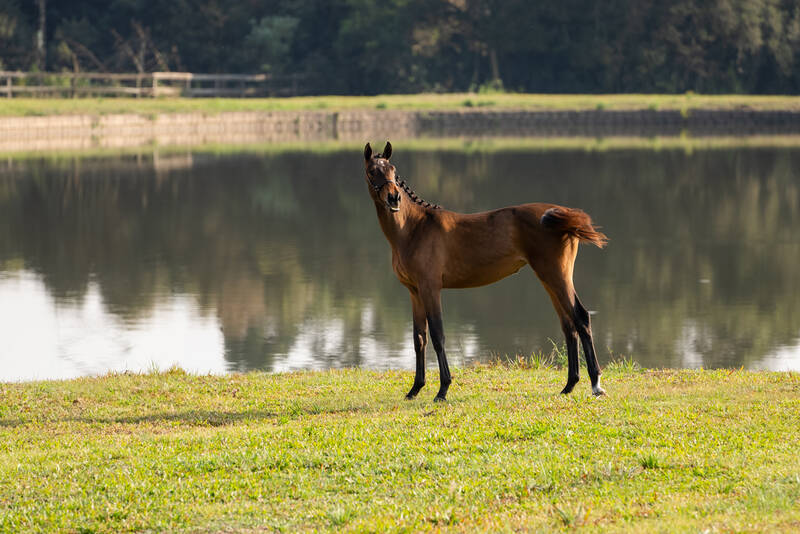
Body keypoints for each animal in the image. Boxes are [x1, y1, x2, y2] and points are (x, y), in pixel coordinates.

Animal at [364, 142, 608, 402]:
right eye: (372, 171)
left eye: (392, 170)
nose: (394, 198)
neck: (414, 228)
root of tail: (562, 214)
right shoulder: (415, 292)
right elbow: (419, 338)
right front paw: (415, 389)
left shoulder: (431, 289)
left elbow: (438, 336)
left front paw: (443, 389)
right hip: (549, 279)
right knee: (568, 325)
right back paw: (569, 385)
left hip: (557, 276)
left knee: (581, 318)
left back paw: (596, 384)